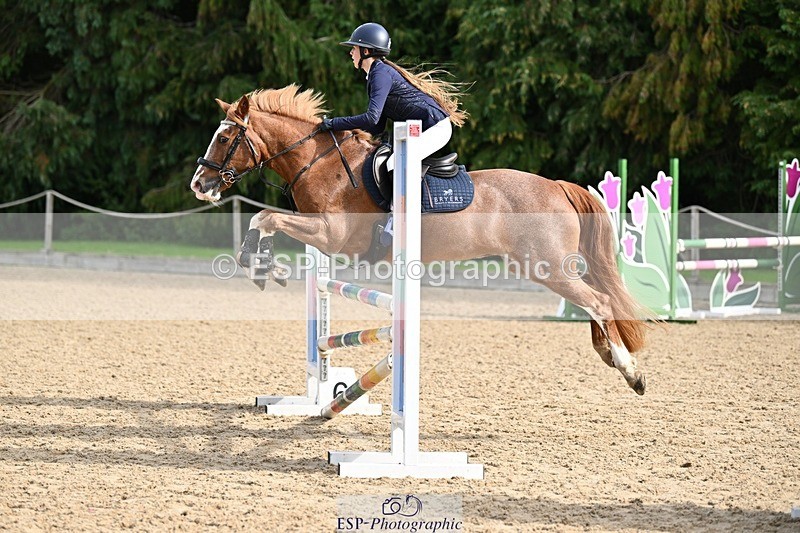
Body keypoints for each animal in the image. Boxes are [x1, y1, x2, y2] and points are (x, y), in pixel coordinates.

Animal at [189, 84, 650, 395]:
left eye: (225, 138)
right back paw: (610, 356)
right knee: (593, 301)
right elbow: (265, 220)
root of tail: (557, 186)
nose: (200, 185)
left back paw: (631, 371)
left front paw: (258, 264)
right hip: (548, 266)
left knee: (599, 301)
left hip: (547, 266)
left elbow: (265, 216)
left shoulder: (332, 236)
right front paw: (263, 264)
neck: (320, 163)